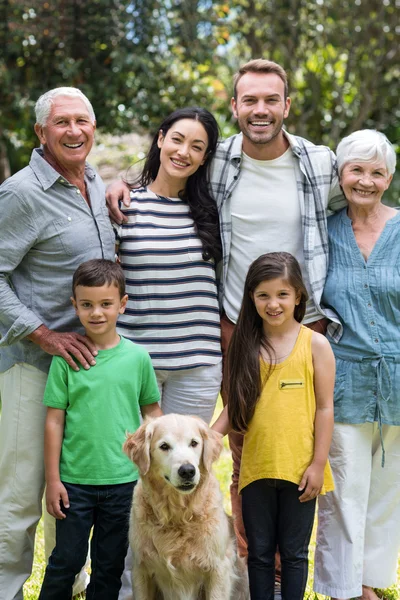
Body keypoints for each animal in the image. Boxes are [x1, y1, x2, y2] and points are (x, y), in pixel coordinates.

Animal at [123, 414, 248, 600]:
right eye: (164, 446)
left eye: (194, 443)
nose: (188, 471)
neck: (178, 515)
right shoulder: (141, 569)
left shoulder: (219, 570)